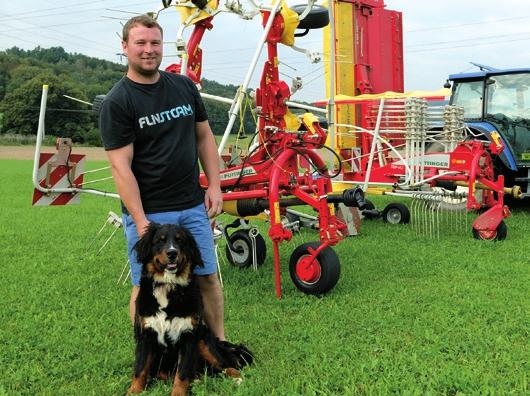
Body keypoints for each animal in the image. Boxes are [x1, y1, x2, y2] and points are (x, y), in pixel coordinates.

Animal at [127, 224, 253, 394]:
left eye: (180, 240)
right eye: (160, 240)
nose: (172, 253)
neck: (169, 287)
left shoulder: (188, 336)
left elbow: (182, 373)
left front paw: (178, 393)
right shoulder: (146, 334)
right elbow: (140, 369)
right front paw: (133, 391)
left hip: (204, 341)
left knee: (224, 366)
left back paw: (237, 378)